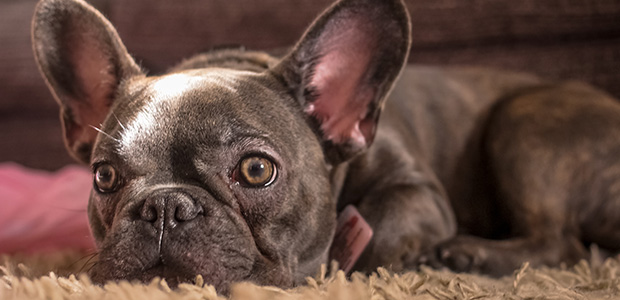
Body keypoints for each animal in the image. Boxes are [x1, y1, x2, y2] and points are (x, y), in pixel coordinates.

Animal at [32, 0, 620, 292]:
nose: (164, 206)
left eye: (255, 171)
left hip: (521, 124)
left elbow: (382, 221)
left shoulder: (418, 190)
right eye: (104, 177)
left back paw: (467, 253)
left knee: (561, 241)